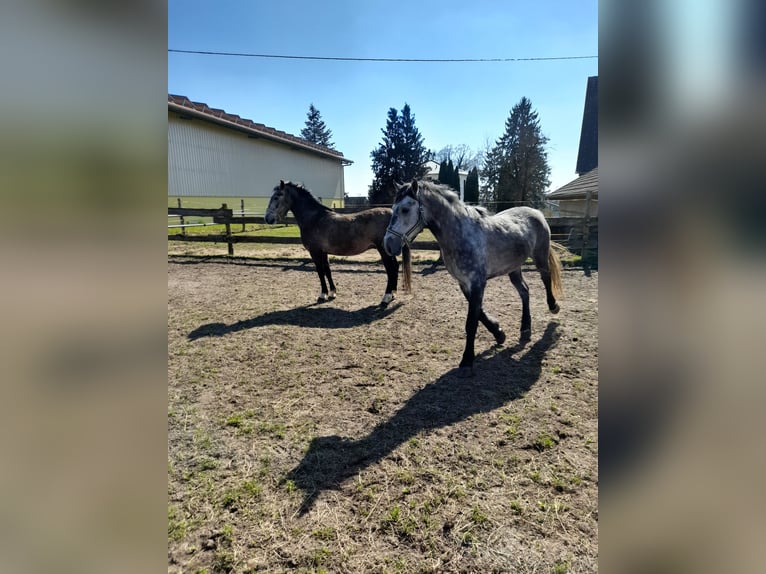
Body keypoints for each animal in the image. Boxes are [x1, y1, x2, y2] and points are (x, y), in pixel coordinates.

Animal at [264, 180, 411, 306]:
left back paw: (386, 297)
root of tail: (392, 213)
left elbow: (320, 272)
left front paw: (322, 295)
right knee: (395, 267)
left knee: (391, 269)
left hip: (383, 251)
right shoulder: (324, 252)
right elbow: (327, 271)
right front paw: (332, 293)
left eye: (277, 197)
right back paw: (393, 294)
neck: (314, 218)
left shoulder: (315, 252)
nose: (267, 218)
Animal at [384, 179, 563, 376]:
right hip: (514, 268)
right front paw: (499, 334)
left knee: (546, 278)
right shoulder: (464, 283)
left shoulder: (477, 282)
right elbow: (480, 314)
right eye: (393, 208)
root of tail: (537, 213)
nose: (388, 244)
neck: (461, 235)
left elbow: (471, 322)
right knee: (525, 291)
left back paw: (553, 307)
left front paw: (467, 359)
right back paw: (525, 328)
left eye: (405, 209)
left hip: (540, 257)